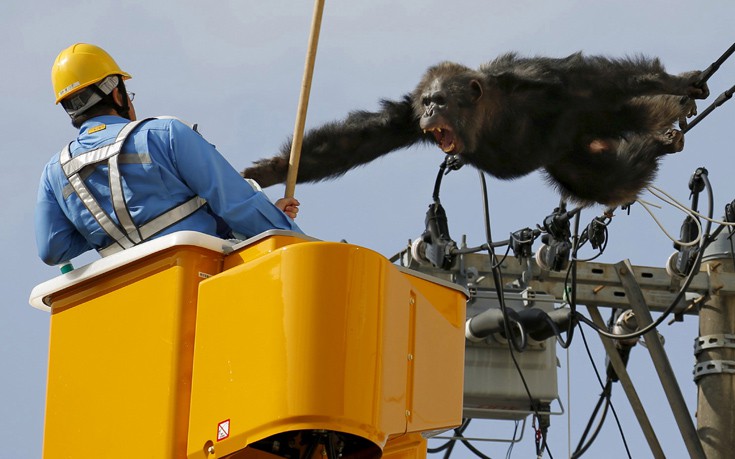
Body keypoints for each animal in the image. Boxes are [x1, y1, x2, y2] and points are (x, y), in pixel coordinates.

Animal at [242, 51, 708, 207]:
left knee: (624, 139)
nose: (430, 113)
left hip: (597, 120)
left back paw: (663, 131)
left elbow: (595, 79)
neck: (490, 115)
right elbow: (357, 140)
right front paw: (272, 170)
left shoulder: (544, 81)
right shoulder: (405, 118)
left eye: (440, 100)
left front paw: (674, 82)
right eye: (426, 102)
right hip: (571, 158)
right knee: (606, 180)